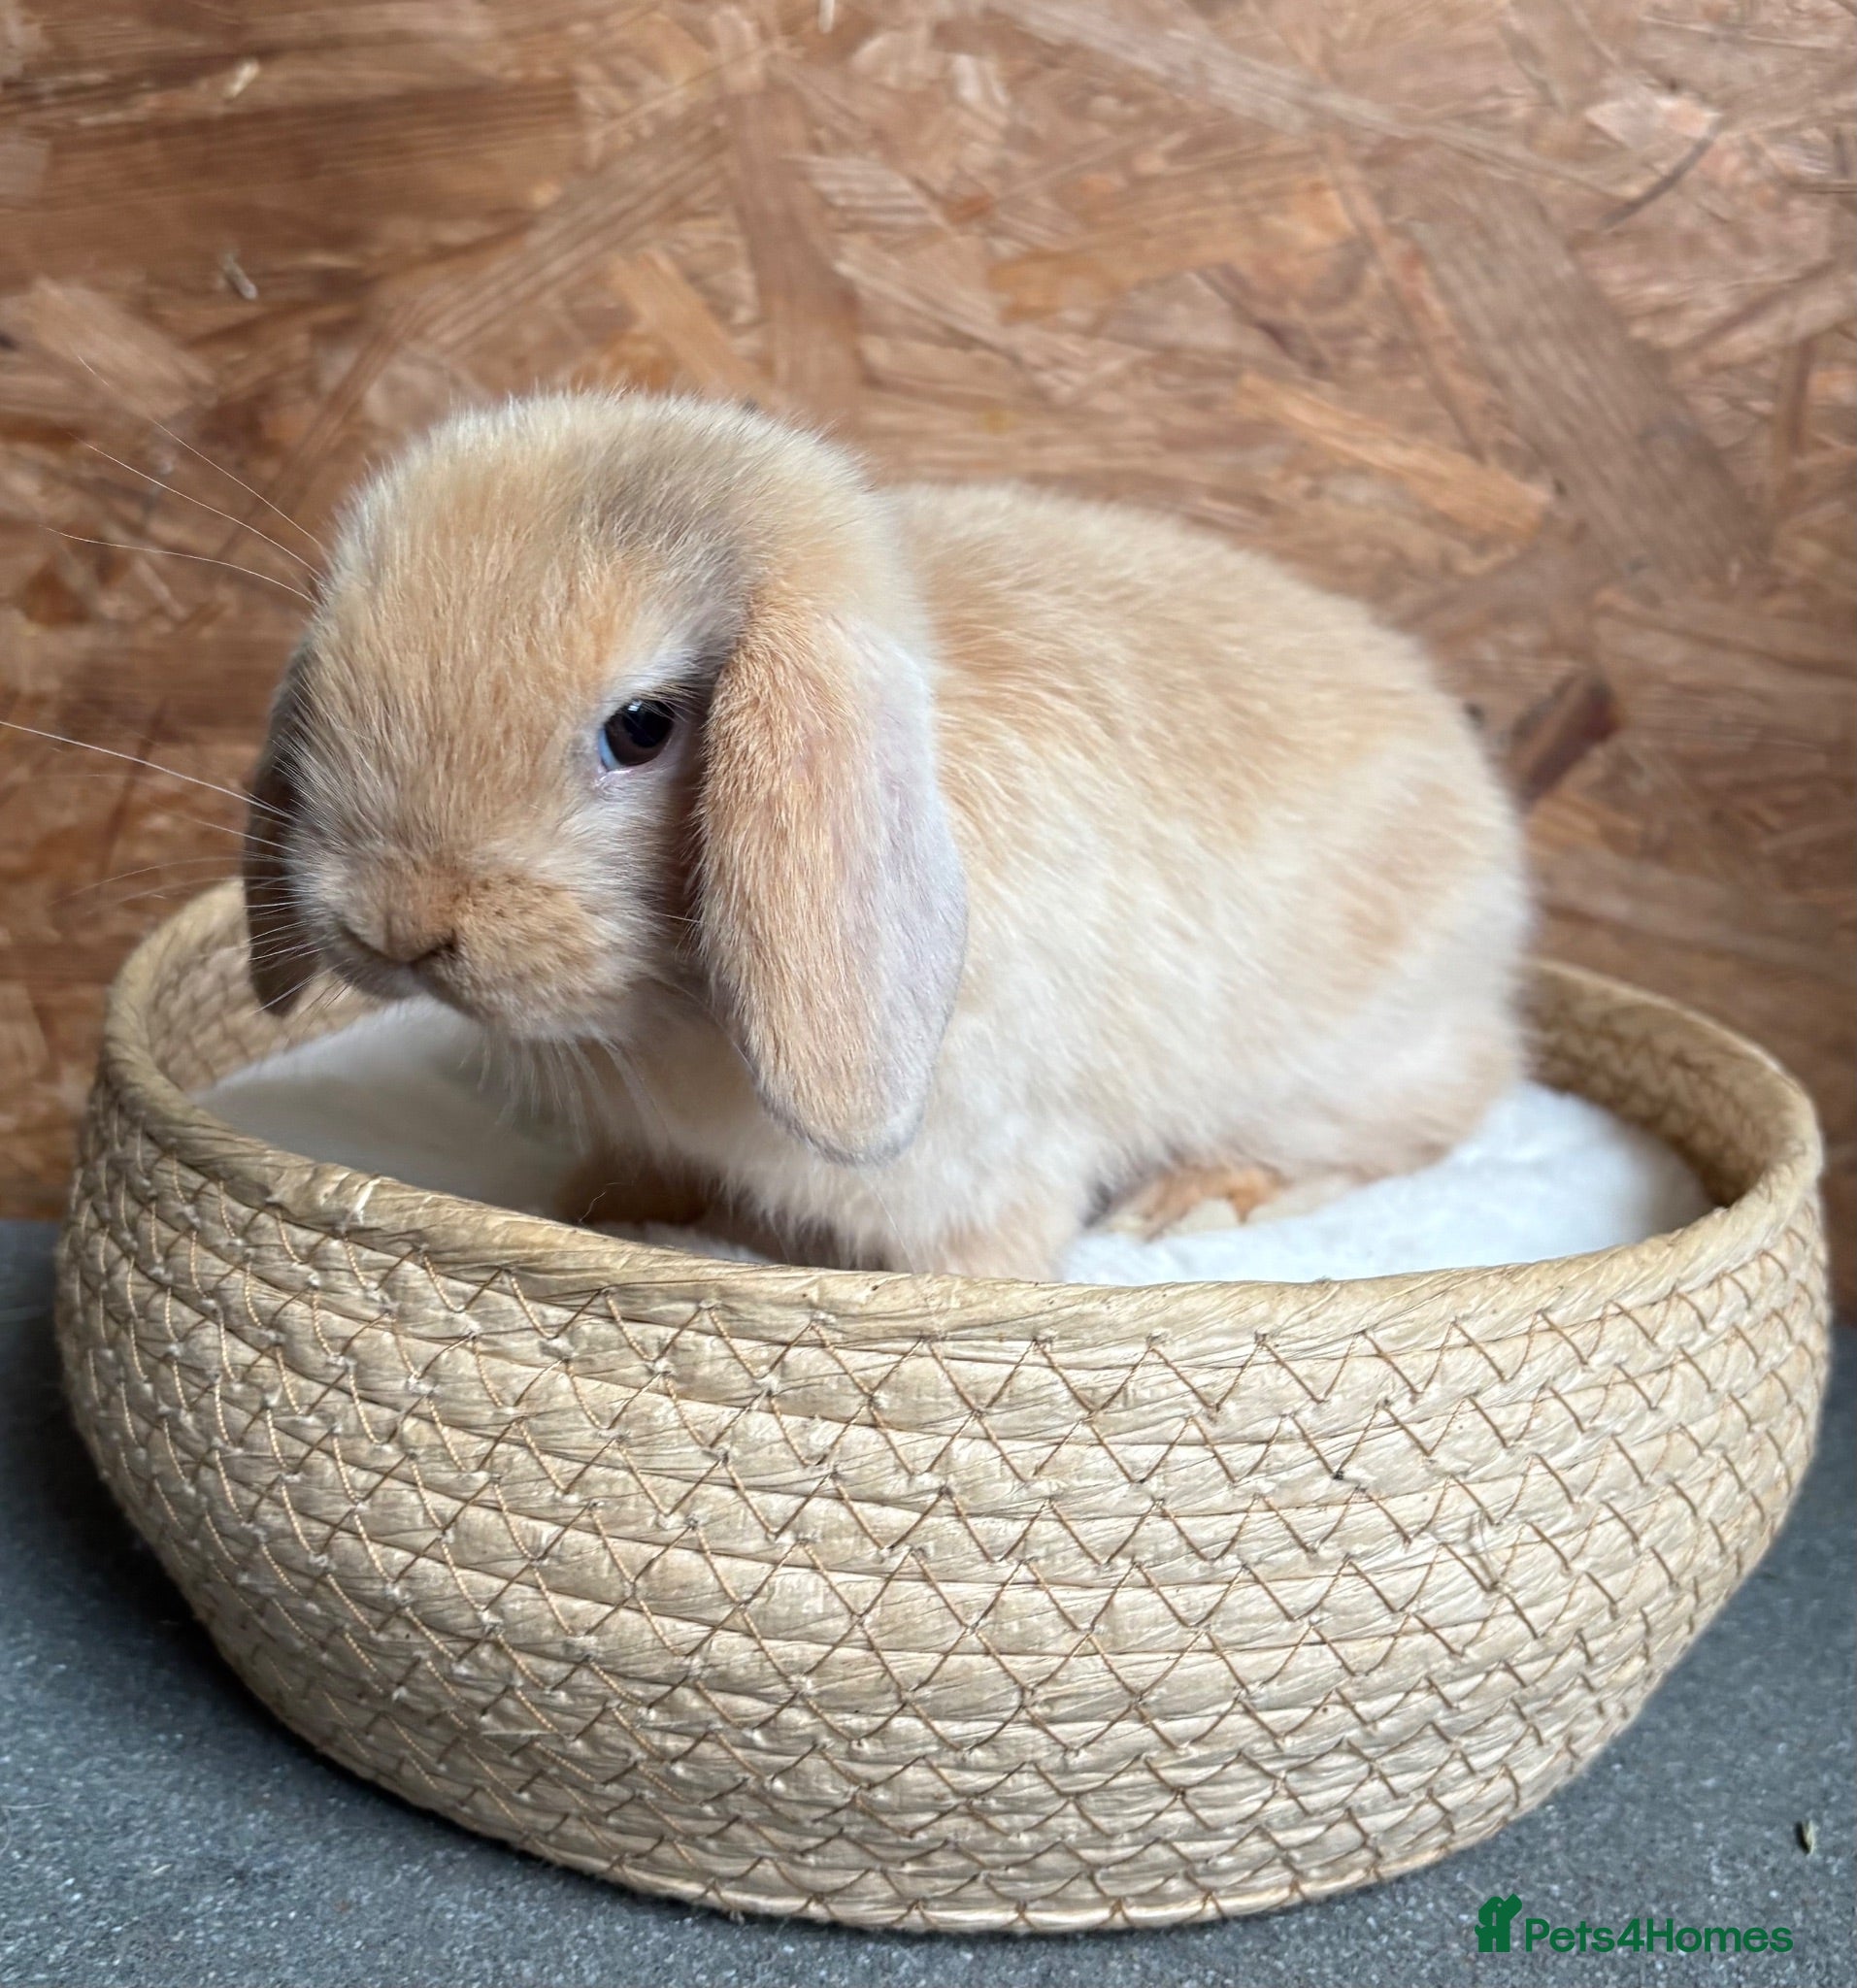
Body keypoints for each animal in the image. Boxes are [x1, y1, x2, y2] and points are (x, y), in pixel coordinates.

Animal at [244, 391, 1530, 1280]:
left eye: (641, 727)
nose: (396, 923)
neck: (677, 1015)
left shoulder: (987, 1175)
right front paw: (590, 1212)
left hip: (1347, 1070)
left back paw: (1204, 1195)